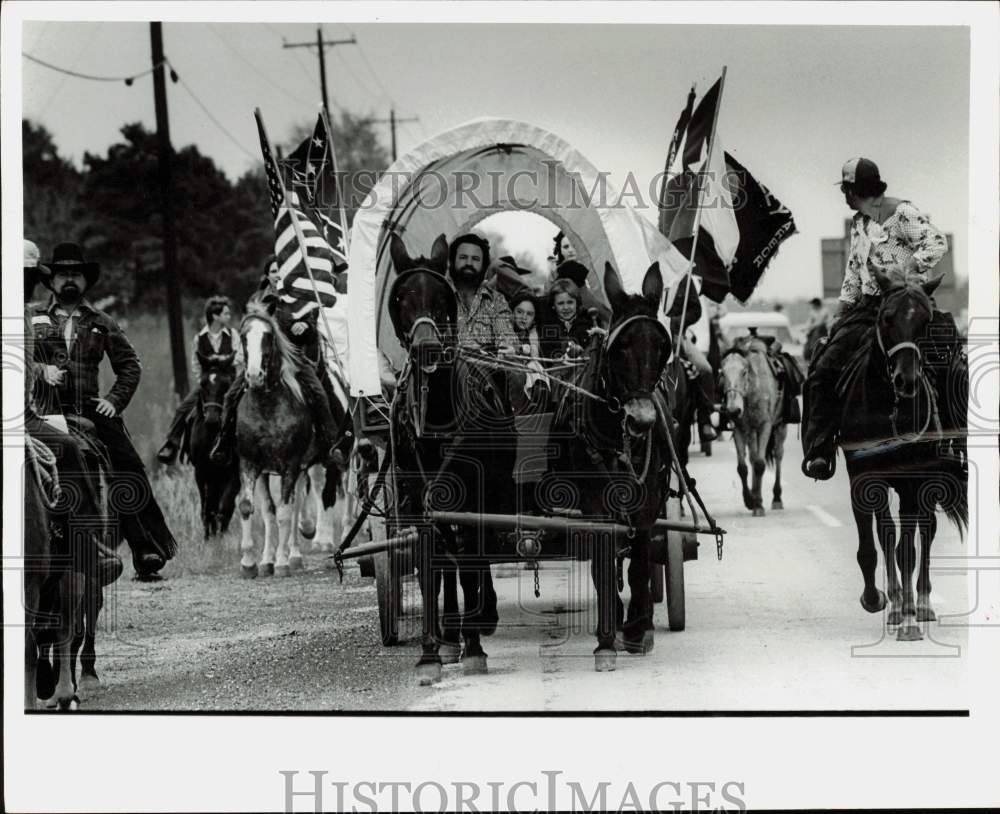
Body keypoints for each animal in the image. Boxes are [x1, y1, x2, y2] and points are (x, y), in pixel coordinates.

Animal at [185, 372, 239, 540]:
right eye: (202, 385)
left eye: (226, 385)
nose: (212, 418)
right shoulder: (201, 473)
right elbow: (207, 507)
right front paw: (208, 538)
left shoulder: (234, 472)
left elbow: (226, 506)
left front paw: (222, 536)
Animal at [544, 262, 676, 668]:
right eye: (620, 348)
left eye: (662, 346)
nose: (641, 420)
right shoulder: (594, 504)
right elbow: (603, 561)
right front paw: (606, 638)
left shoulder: (649, 499)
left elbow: (640, 561)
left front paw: (637, 629)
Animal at [720, 336, 788, 516]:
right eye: (722, 373)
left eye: (744, 372)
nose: (733, 410)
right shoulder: (740, 428)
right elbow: (743, 467)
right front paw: (750, 500)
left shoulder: (765, 425)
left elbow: (759, 464)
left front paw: (758, 504)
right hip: (752, 431)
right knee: (752, 457)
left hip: (780, 427)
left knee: (778, 455)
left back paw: (776, 498)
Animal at [836, 270, 968, 640]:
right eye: (886, 317)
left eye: (925, 321)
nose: (905, 380)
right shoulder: (864, 479)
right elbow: (877, 543)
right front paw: (882, 601)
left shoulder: (912, 481)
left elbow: (907, 547)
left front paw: (909, 617)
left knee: (926, 531)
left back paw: (921, 603)